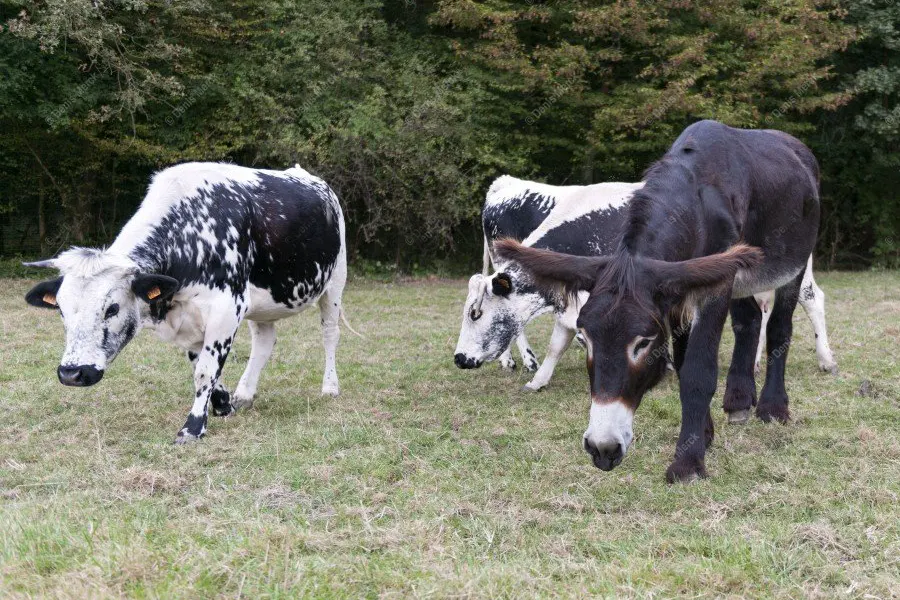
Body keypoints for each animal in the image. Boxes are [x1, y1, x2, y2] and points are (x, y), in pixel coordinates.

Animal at [24, 162, 350, 443]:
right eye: (61, 310)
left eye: (112, 308)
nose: (71, 373)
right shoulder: (189, 319)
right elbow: (203, 366)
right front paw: (224, 405)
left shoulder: (227, 309)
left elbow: (206, 369)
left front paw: (193, 427)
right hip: (264, 303)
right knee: (264, 341)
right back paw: (245, 394)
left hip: (335, 282)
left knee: (330, 334)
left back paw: (330, 387)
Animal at [457, 177, 835, 391]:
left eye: (475, 313)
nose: (459, 358)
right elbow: (558, 340)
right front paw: (538, 380)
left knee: (809, 299)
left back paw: (826, 359)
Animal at [495, 120, 825, 482]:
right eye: (585, 339)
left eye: (643, 343)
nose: (602, 449)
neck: (694, 195)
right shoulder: (681, 292)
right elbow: (681, 364)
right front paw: (703, 435)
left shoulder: (714, 283)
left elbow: (698, 368)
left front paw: (688, 462)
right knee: (749, 319)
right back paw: (739, 400)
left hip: (793, 264)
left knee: (779, 327)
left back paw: (773, 407)